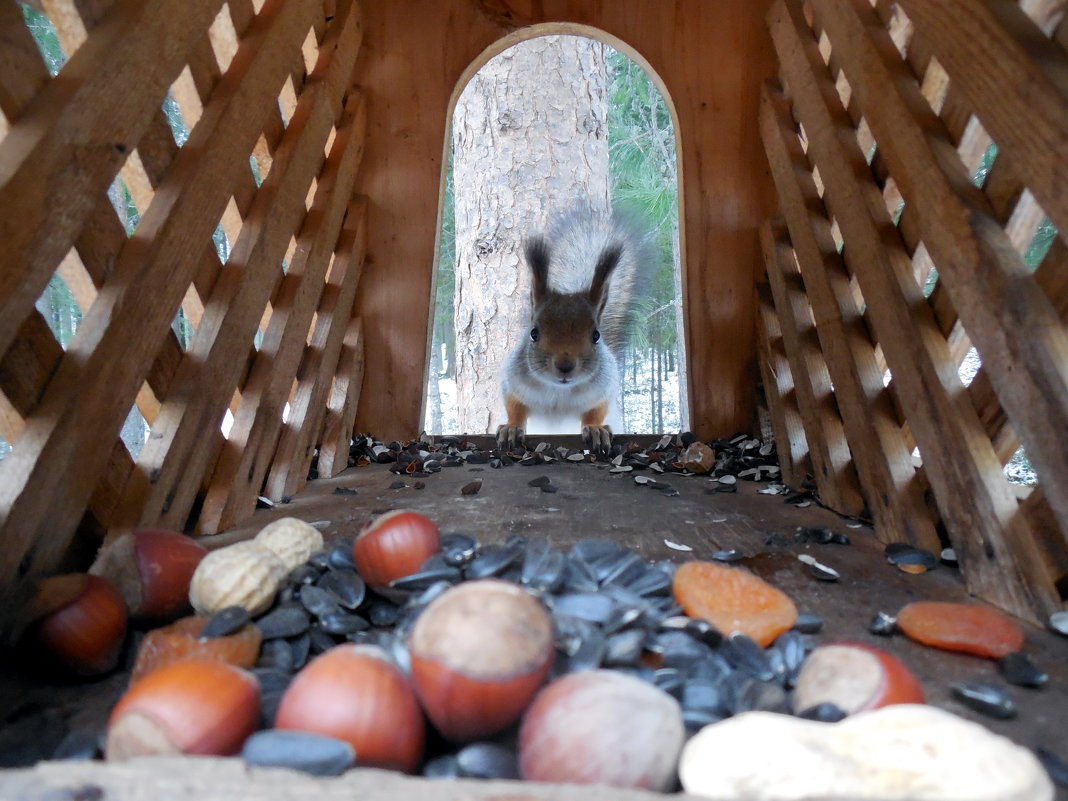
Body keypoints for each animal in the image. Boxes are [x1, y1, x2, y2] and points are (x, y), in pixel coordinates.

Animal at [493, 210, 649, 454]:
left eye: (596, 336)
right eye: (533, 333)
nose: (564, 365)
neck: (559, 391)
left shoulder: (602, 391)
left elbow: (595, 412)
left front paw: (595, 429)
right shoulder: (513, 383)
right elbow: (515, 407)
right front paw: (511, 428)